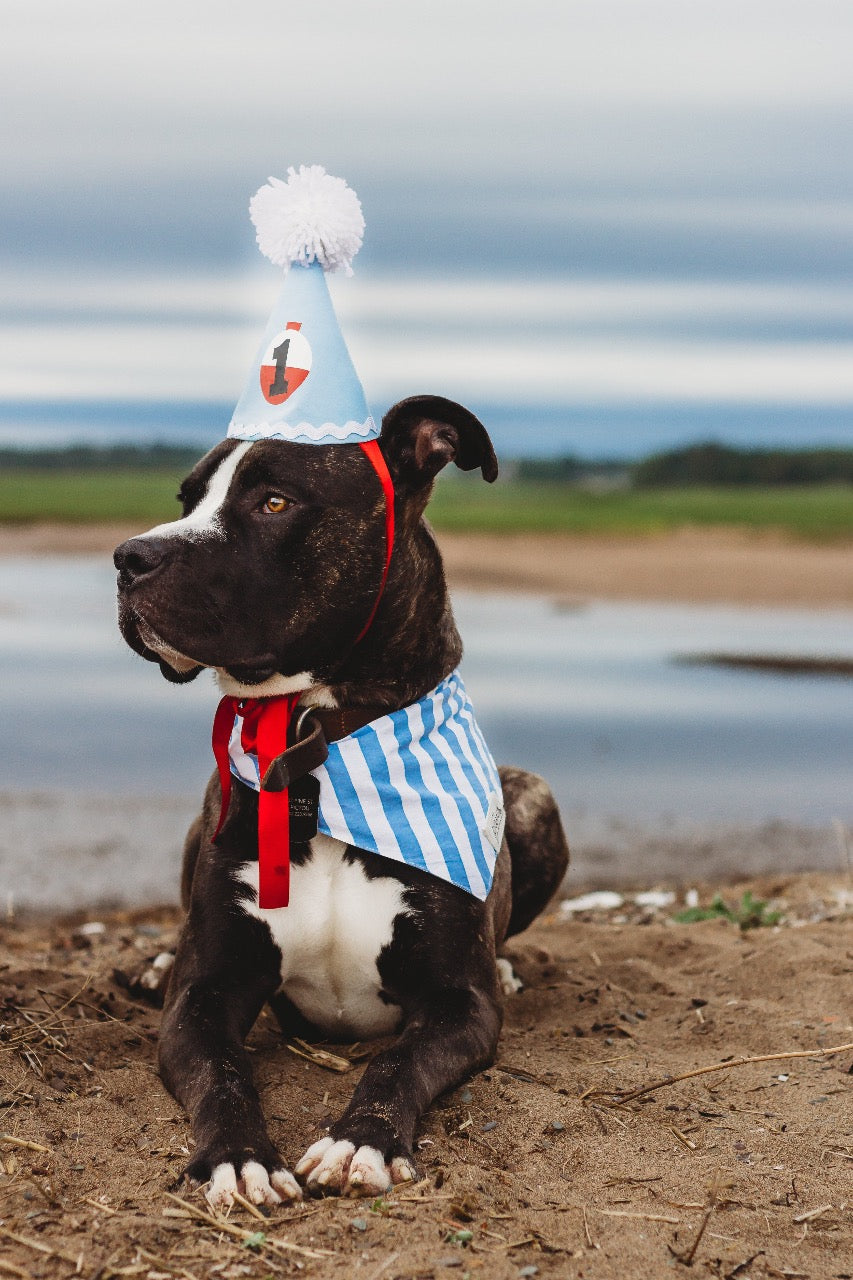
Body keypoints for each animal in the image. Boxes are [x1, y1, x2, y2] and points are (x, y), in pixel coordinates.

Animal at [112, 396, 563, 1208]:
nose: (129, 557)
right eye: (187, 500)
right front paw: (238, 1157)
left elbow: (396, 1061)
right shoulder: (204, 997)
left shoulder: (462, 1004)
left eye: (273, 501)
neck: (317, 744)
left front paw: (362, 1141)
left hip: (534, 798)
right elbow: (221, 1073)